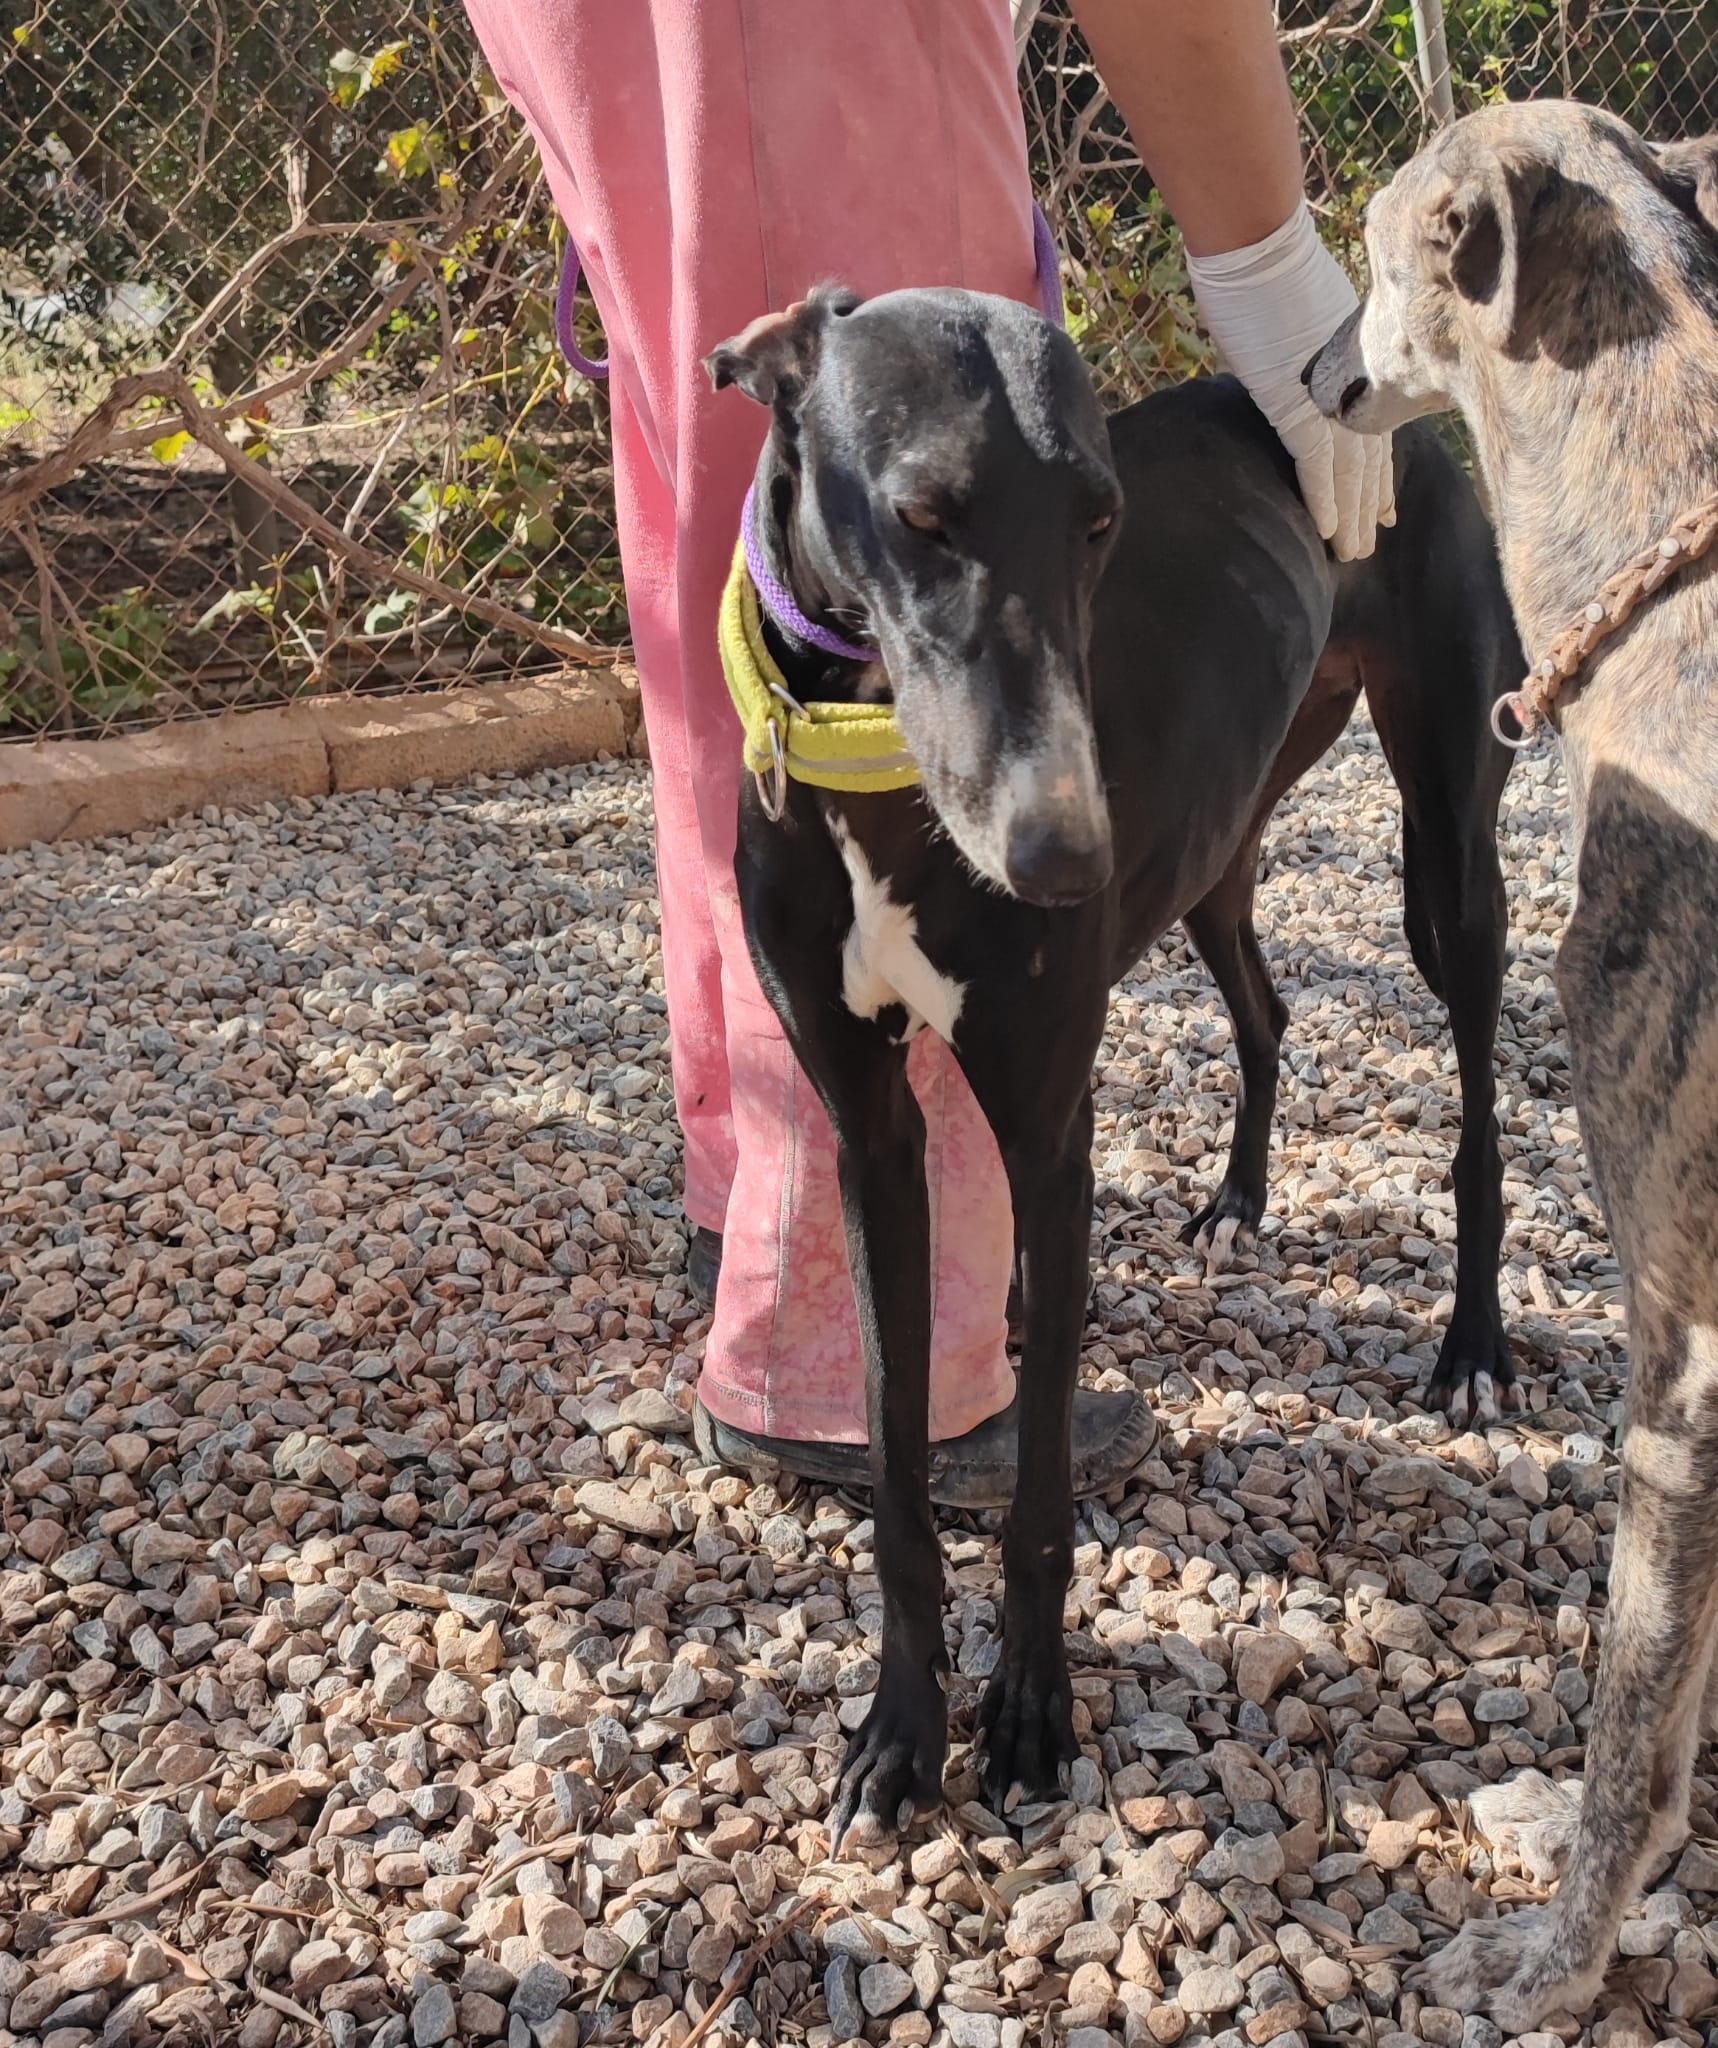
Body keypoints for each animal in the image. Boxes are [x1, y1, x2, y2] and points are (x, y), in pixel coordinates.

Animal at [705, 284, 1519, 1844]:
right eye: (921, 515)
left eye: (1099, 519)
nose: (1055, 858)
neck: (868, 784)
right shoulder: (868, 1133)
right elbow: (898, 1476)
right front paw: (896, 1729)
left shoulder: (1045, 1123)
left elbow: (1032, 1502)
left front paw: (1025, 1714)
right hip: (1215, 856)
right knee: (1264, 1009)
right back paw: (1236, 1200)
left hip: (1445, 859)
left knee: (1477, 1115)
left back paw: (1472, 1347)